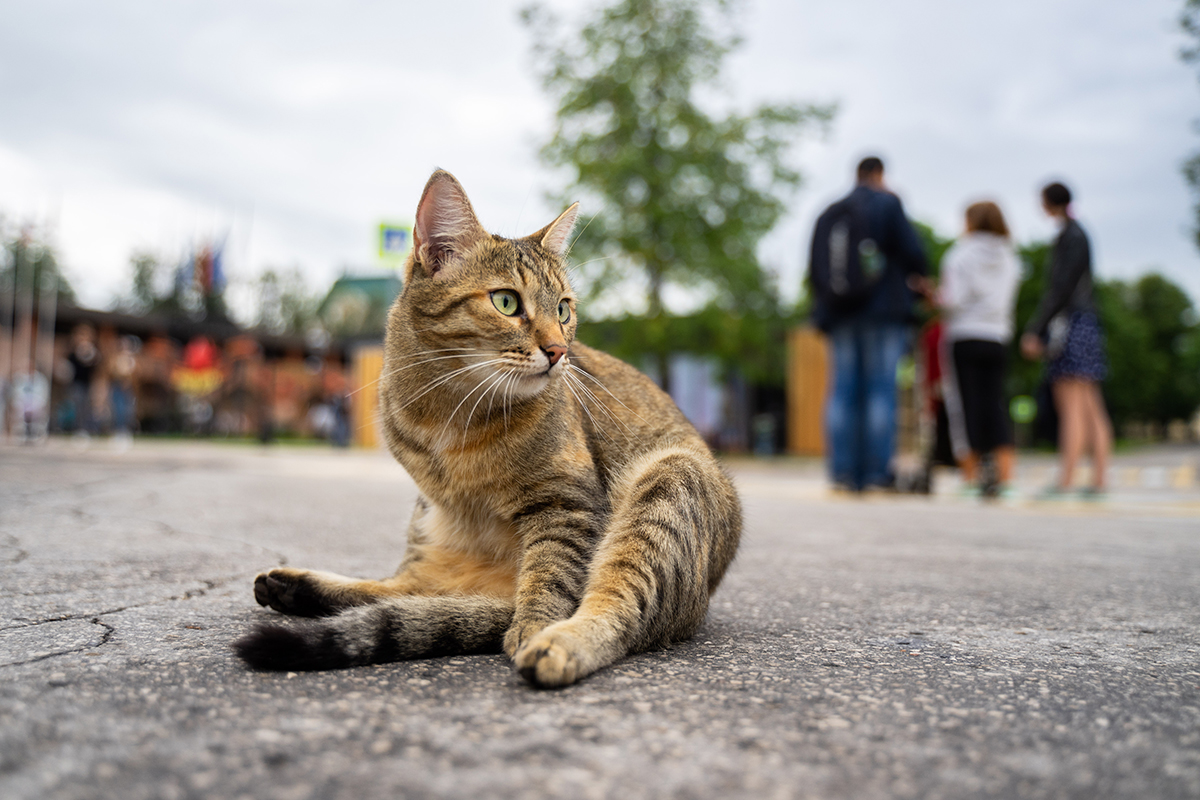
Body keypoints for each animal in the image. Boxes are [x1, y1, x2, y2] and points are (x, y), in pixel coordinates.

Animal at [232, 169, 739, 690]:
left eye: (563, 309)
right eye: (506, 302)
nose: (559, 351)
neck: (448, 411)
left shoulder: (567, 502)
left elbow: (551, 574)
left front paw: (535, 626)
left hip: (670, 480)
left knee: (616, 607)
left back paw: (559, 642)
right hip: (428, 521)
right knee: (408, 592)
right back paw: (296, 586)